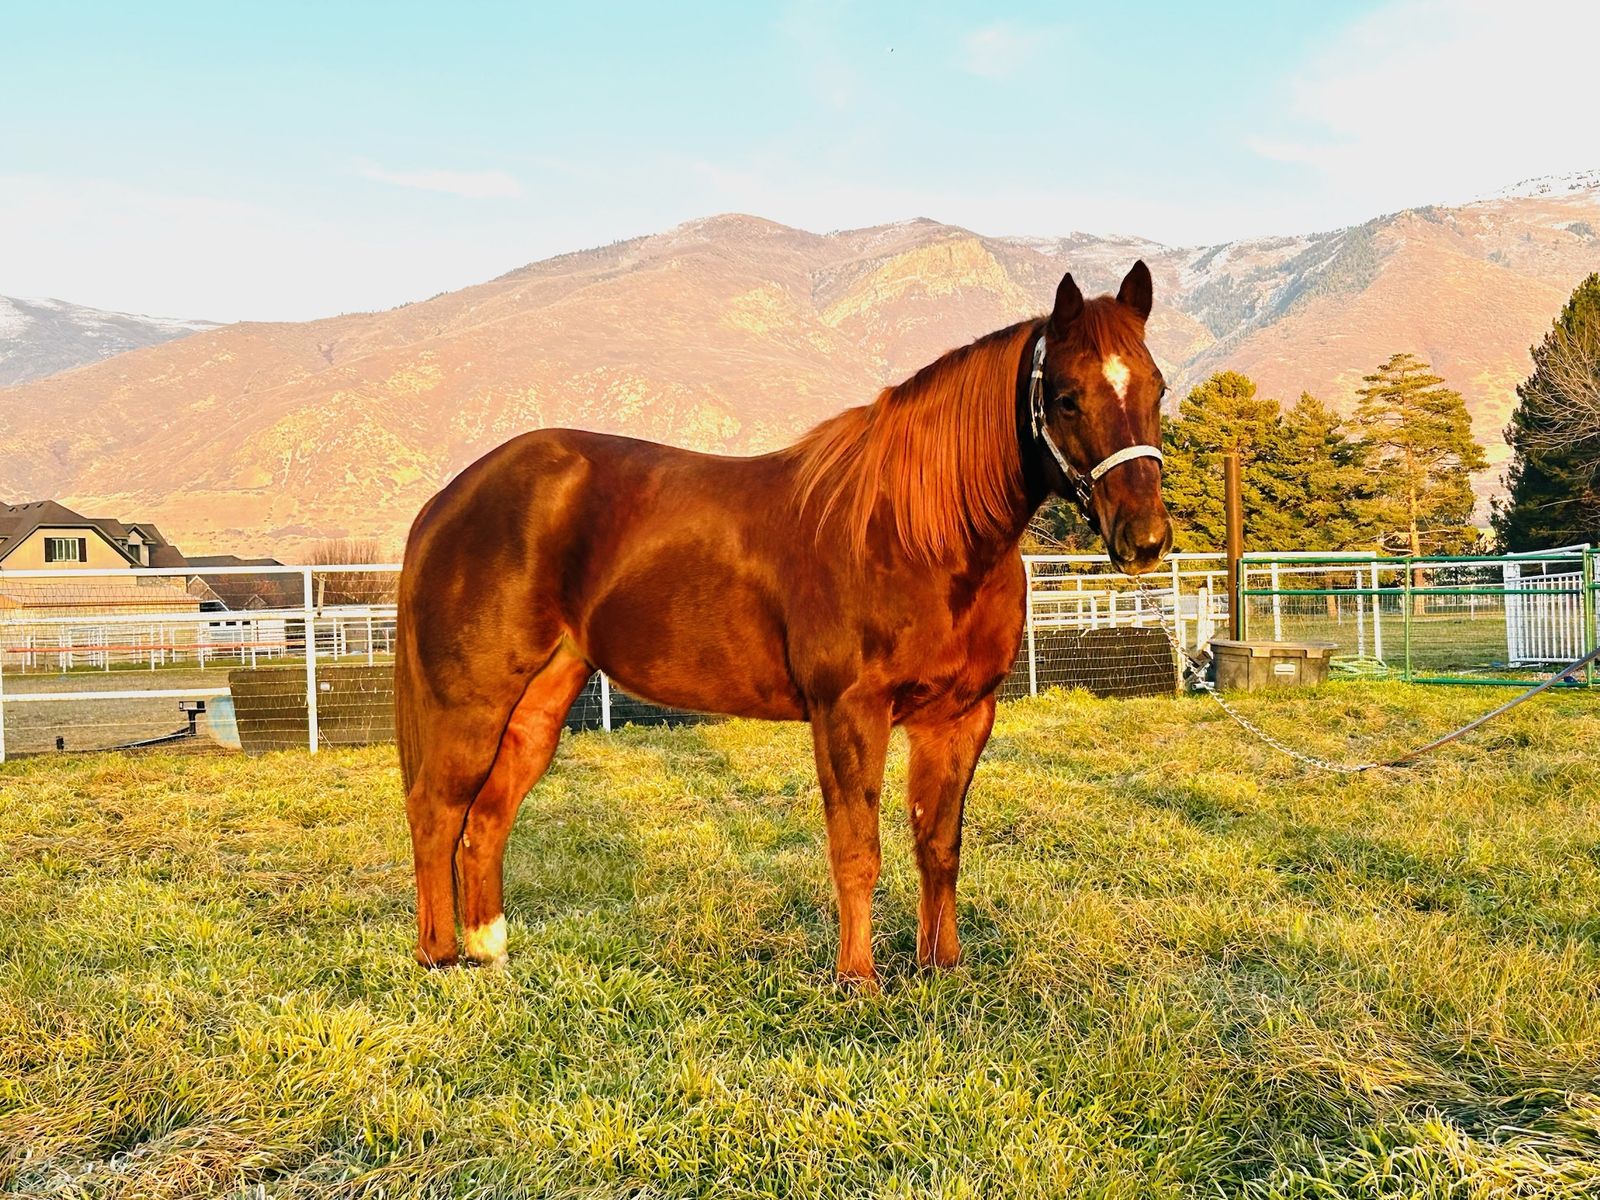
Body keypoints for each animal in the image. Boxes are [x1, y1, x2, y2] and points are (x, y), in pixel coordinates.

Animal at [395, 262, 1173, 986]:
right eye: (1066, 397)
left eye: (1157, 388)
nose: (1145, 540)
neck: (914, 534)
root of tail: (449, 498)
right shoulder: (848, 712)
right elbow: (857, 849)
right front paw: (857, 980)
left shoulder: (960, 716)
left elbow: (939, 846)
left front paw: (941, 966)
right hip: (471, 704)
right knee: (436, 811)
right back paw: (439, 958)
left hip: (539, 704)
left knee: (487, 818)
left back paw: (491, 952)